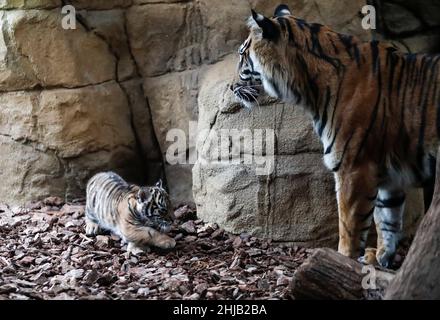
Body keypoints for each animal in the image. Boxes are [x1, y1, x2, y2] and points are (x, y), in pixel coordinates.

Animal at [230, 4, 440, 268]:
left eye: (242, 56)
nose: (231, 87)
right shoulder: (388, 175)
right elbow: (387, 220)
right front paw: (380, 258)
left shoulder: (354, 168)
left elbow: (350, 226)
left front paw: (341, 260)